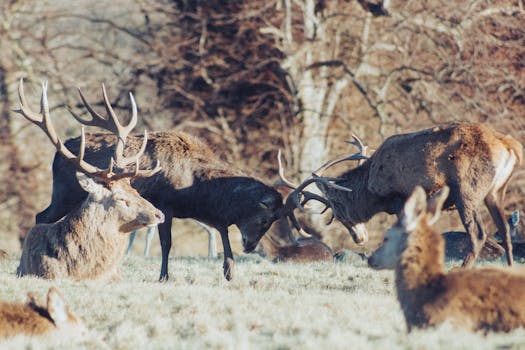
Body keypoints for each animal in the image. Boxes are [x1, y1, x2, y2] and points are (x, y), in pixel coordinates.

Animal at [288, 123, 520, 268]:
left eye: (338, 212)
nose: (360, 239)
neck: (372, 189)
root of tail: (510, 147)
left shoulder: (401, 198)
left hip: (467, 190)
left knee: (479, 234)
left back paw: (462, 269)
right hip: (496, 191)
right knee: (505, 229)